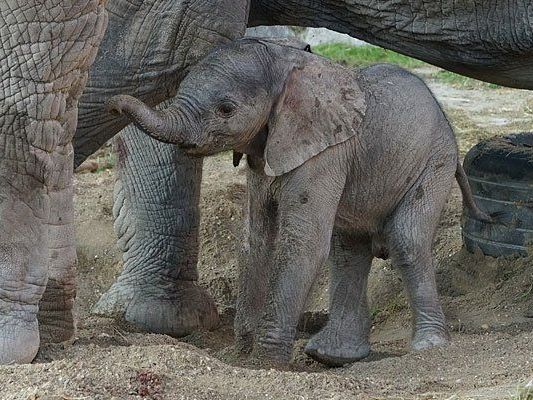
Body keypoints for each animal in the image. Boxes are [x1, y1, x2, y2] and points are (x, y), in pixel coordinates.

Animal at [107, 37, 486, 366]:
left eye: (226, 109)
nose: (114, 103)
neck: (285, 63)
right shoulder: (264, 154)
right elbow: (256, 240)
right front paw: (241, 356)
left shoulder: (325, 153)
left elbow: (301, 244)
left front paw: (265, 363)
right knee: (347, 251)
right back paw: (331, 355)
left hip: (435, 161)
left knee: (406, 241)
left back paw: (428, 346)